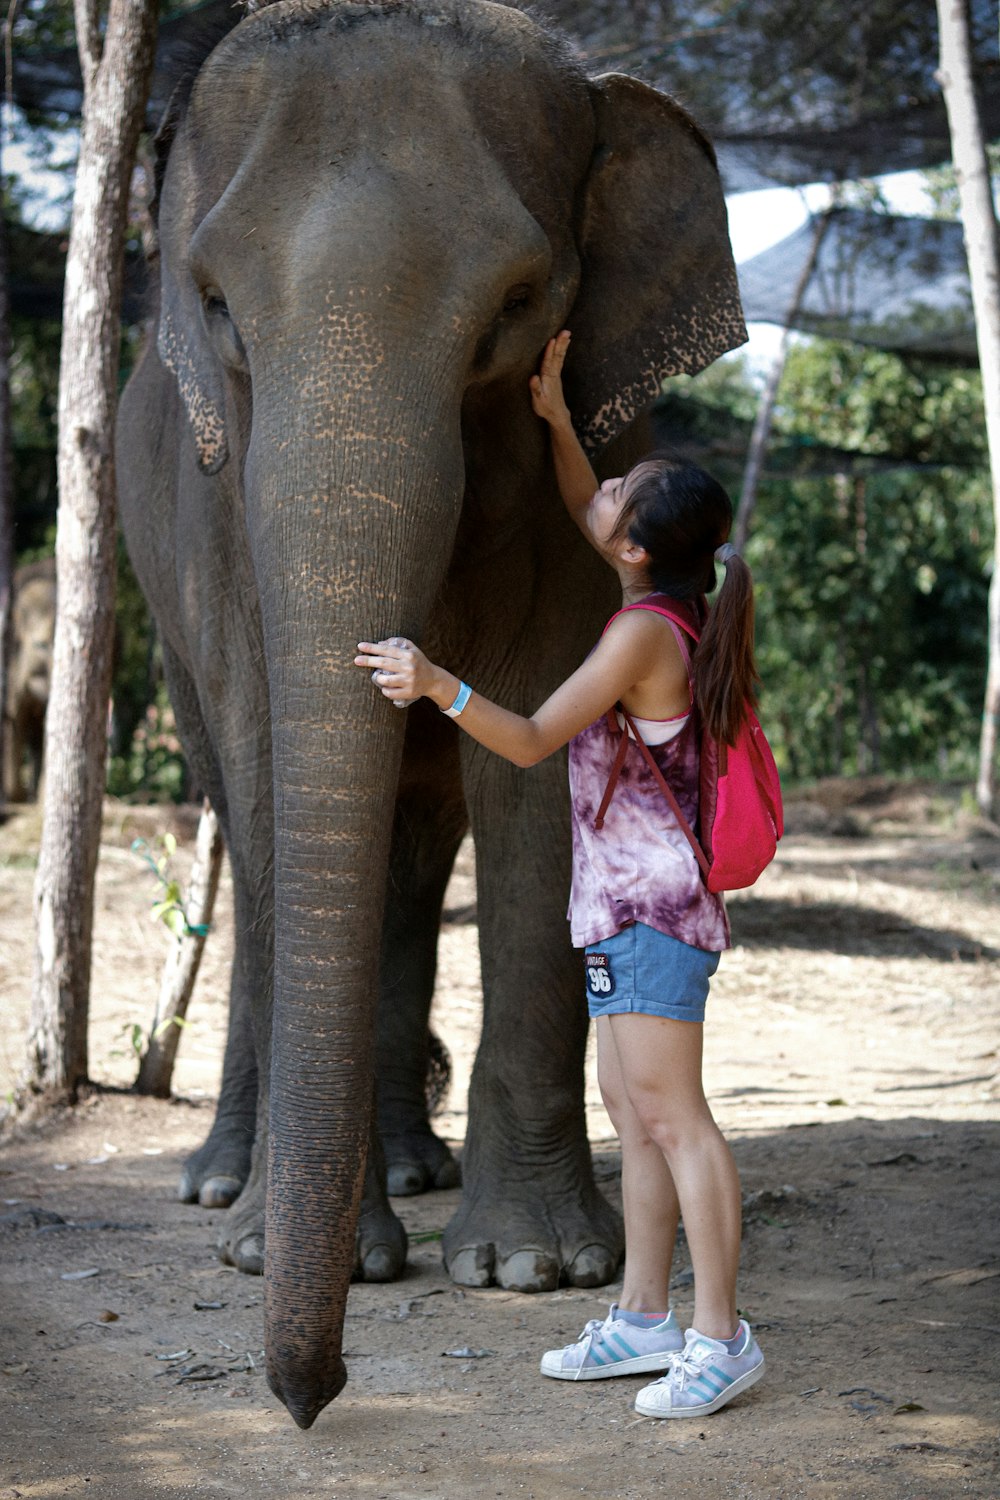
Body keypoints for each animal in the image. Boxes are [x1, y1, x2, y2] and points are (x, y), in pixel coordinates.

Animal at [115, 0, 743, 1428]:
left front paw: (530, 1269)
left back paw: (410, 1173)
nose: (309, 1402)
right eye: (218, 305)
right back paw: (226, 1188)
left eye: (516, 306)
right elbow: (269, 760)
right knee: (248, 808)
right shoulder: (213, 510)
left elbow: (534, 765)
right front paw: (284, 1254)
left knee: (413, 845)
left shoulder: (591, 490)